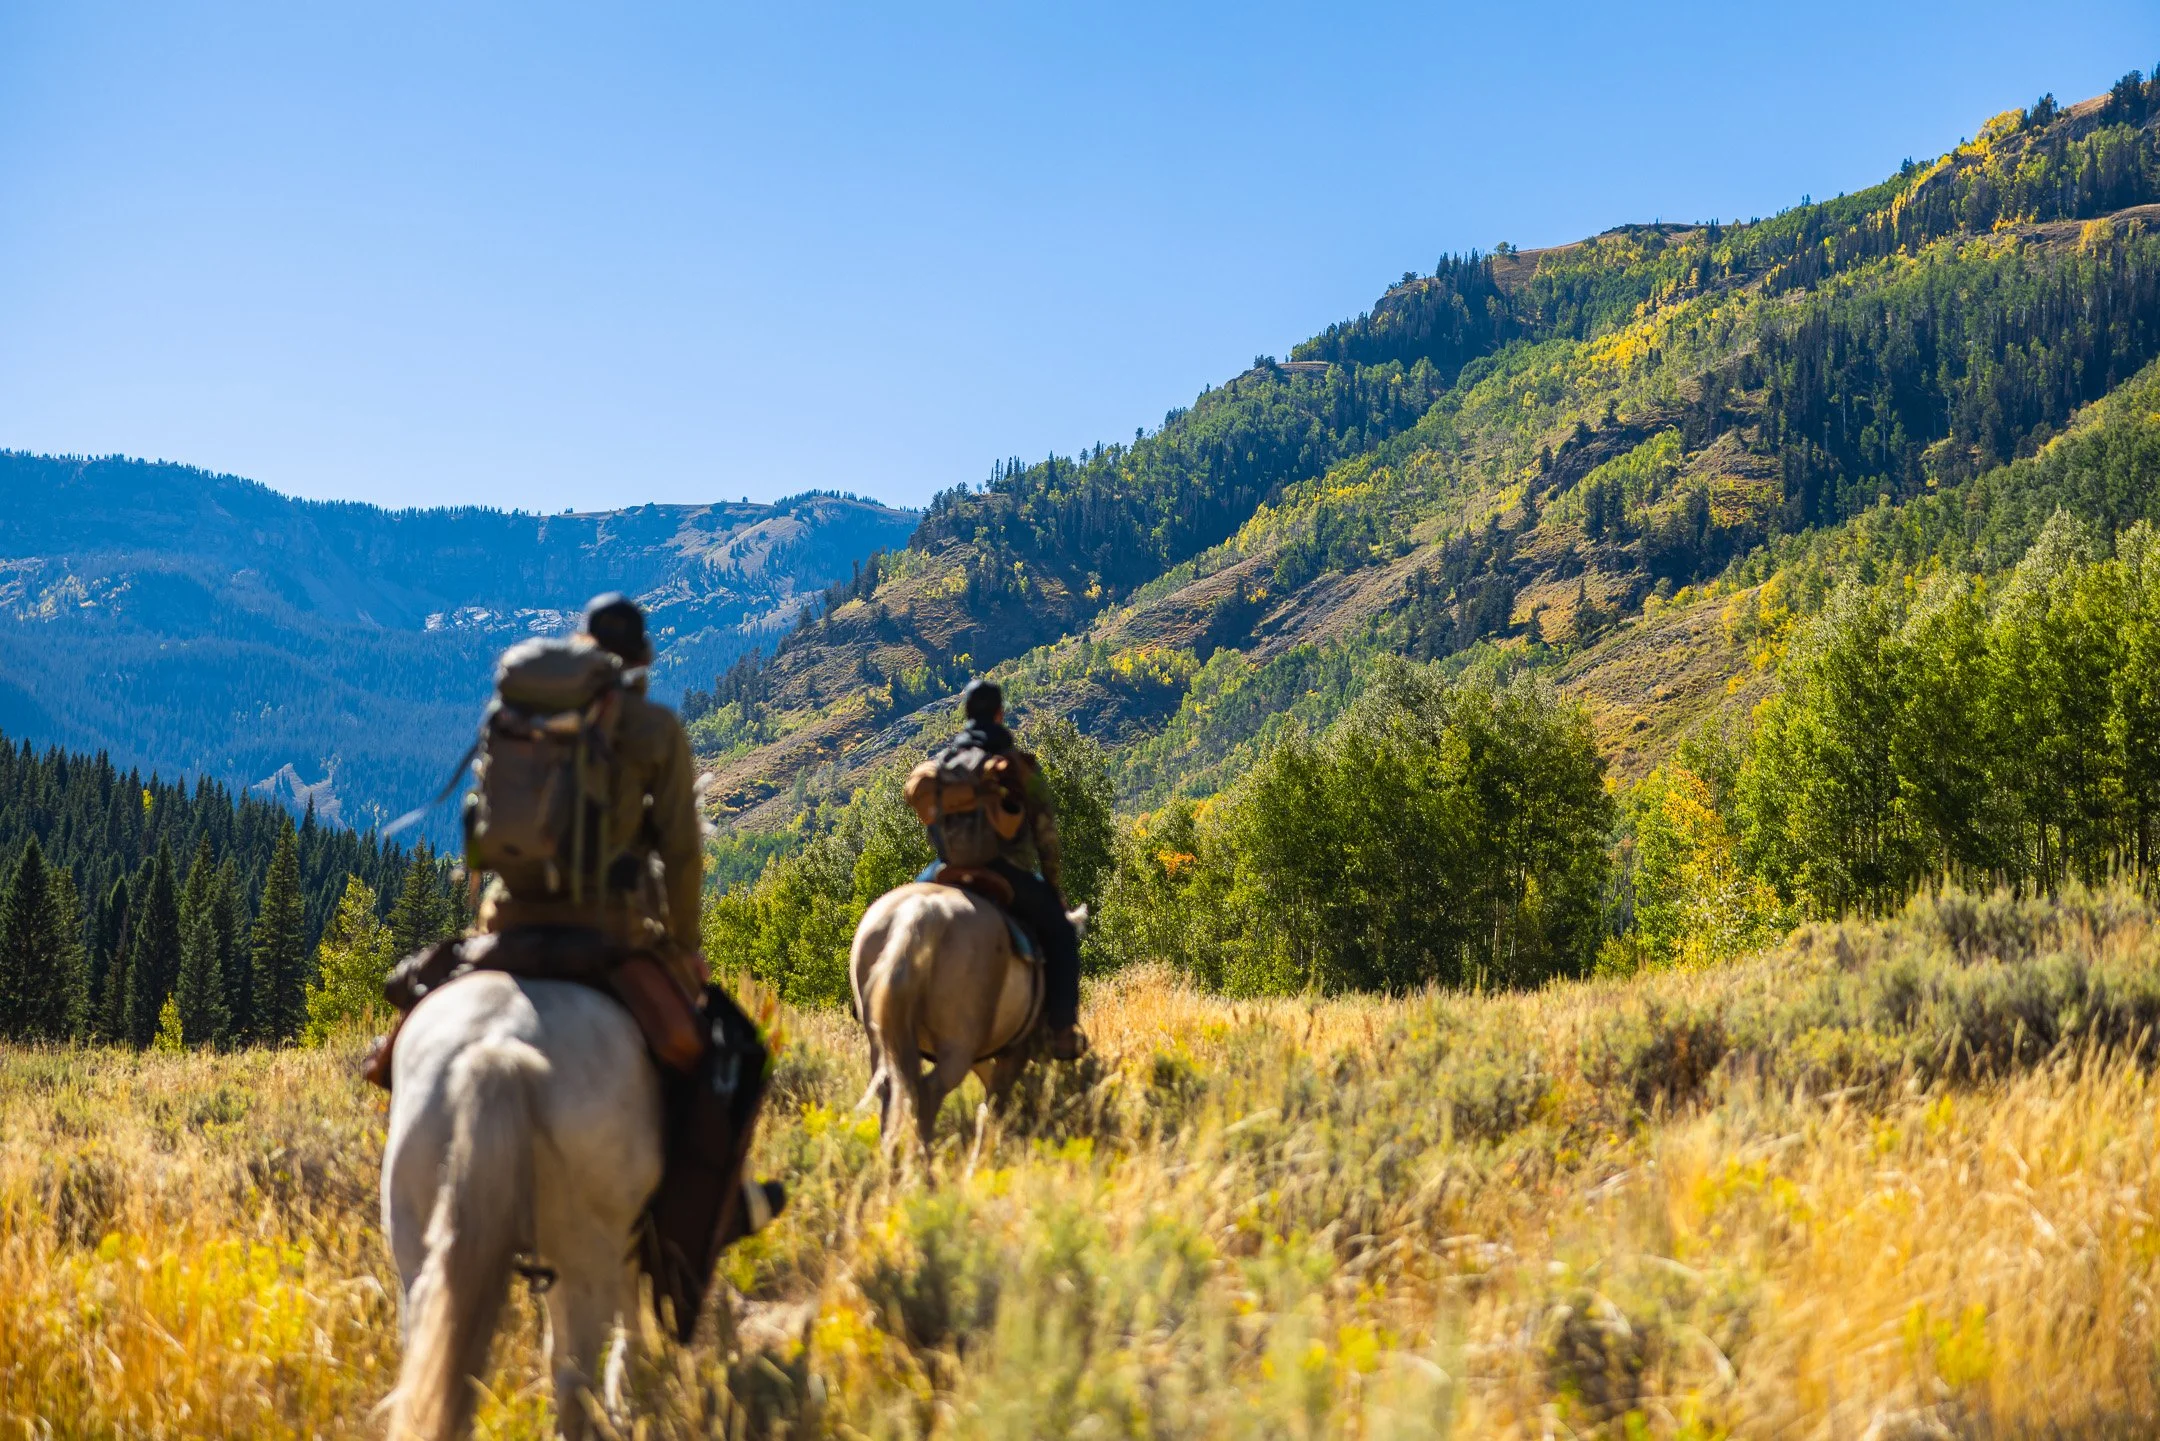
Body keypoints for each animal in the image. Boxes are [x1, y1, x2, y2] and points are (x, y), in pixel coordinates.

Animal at [850, 879, 1087, 1158]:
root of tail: (922, 911)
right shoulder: (1015, 1050)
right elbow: (995, 1103)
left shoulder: (983, 1052)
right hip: (958, 1047)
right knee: (928, 1093)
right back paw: (924, 1161)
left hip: (886, 1043)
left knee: (892, 1090)